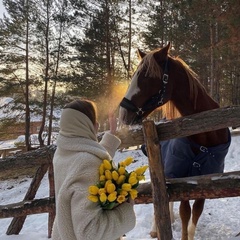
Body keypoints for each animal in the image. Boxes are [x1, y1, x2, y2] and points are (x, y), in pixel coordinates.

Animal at [118, 43, 231, 240]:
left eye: (147, 77)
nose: (123, 114)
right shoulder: (183, 177)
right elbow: (185, 213)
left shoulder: (207, 178)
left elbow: (196, 213)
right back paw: (156, 228)